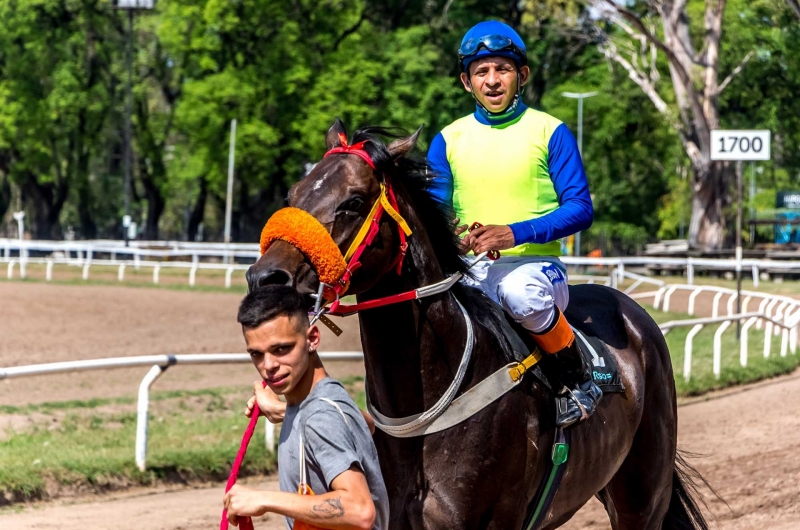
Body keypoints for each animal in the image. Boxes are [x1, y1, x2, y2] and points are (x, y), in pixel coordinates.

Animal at [245, 119, 708, 528]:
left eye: (354, 201)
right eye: (294, 194)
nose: (264, 278)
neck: (424, 411)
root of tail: (630, 310)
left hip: (642, 493)